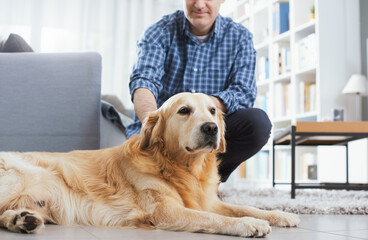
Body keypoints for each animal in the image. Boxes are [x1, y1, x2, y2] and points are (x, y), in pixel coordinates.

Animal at [0, 93, 300, 237]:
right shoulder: (166, 211)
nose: (211, 128)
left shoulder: (208, 201)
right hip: (19, 177)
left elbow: (244, 207)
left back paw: (22, 220)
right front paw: (249, 224)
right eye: (184, 111)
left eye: (213, 110)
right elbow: (214, 218)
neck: (183, 168)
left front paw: (280, 214)